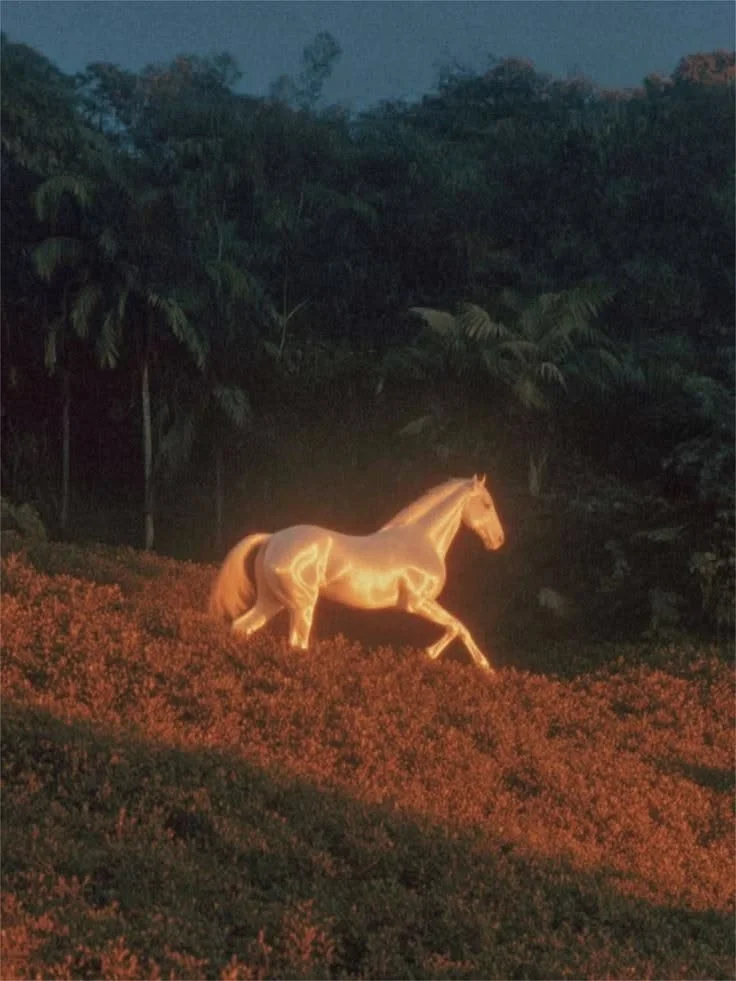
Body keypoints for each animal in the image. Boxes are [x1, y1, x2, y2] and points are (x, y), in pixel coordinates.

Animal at [209, 475, 505, 672]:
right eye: (487, 504)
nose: (499, 540)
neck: (421, 541)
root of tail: (272, 539)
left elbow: (457, 626)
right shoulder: (417, 603)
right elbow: (458, 625)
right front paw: (479, 666)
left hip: (272, 602)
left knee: (242, 627)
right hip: (301, 605)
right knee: (296, 644)